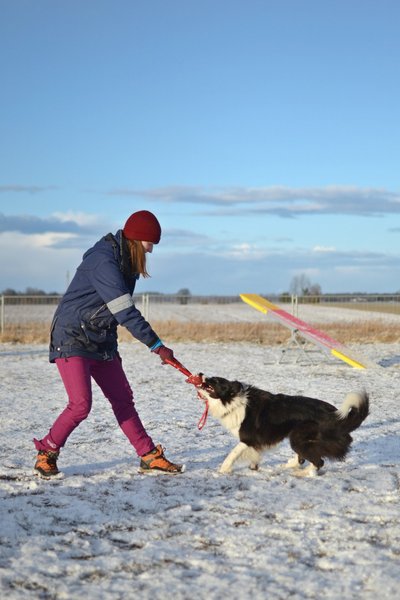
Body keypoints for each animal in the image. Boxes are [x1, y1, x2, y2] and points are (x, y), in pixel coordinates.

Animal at [198, 376, 370, 478]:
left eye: (216, 381)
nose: (202, 374)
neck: (233, 402)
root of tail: (334, 415)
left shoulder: (247, 439)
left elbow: (232, 454)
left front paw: (223, 469)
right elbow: (253, 455)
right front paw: (254, 467)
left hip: (298, 438)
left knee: (318, 461)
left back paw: (304, 473)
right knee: (304, 458)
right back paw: (290, 465)